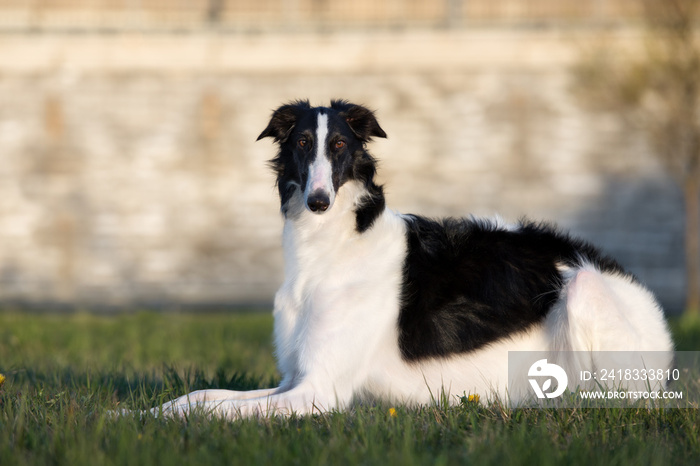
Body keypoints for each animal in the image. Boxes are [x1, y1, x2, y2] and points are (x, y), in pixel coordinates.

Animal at [152, 99, 672, 418]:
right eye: (301, 143)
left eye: (339, 145)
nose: (319, 201)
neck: (332, 248)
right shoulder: (292, 380)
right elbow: (200, 397)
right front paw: (142, 412)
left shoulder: (319, 391)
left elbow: (222, 409)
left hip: (583, 290)